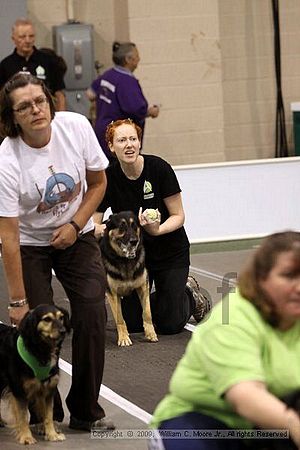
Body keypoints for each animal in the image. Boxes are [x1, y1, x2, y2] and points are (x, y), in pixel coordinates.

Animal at [0, 304, 70, 444]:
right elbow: (22, 416)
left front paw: (52, 434)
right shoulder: (19, 390)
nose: (63, 331)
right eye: (47, 319)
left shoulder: (48, 389)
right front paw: (26, 437)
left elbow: (48, 415)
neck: (39, 351)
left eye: (61, 317)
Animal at [99, 213, 158, 346]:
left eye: (134, 225)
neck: (125, 261)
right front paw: (124, 338)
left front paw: (150, 333)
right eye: (122, 226)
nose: (134, 241)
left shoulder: (143, 287)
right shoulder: (112, 294)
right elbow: (120, 318)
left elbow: (147, 313)